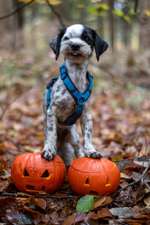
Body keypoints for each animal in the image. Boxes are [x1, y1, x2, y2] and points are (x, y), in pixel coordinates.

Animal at [41, 24, 108, 165]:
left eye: (87, 38)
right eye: (66, 38)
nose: (75, 45)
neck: (75, 77)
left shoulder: (86, 115)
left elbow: (88, 134)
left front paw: (91, 150)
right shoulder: (52, 111)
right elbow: (51, 133)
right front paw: (49, 150)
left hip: (73, 136)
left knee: (78, 149)